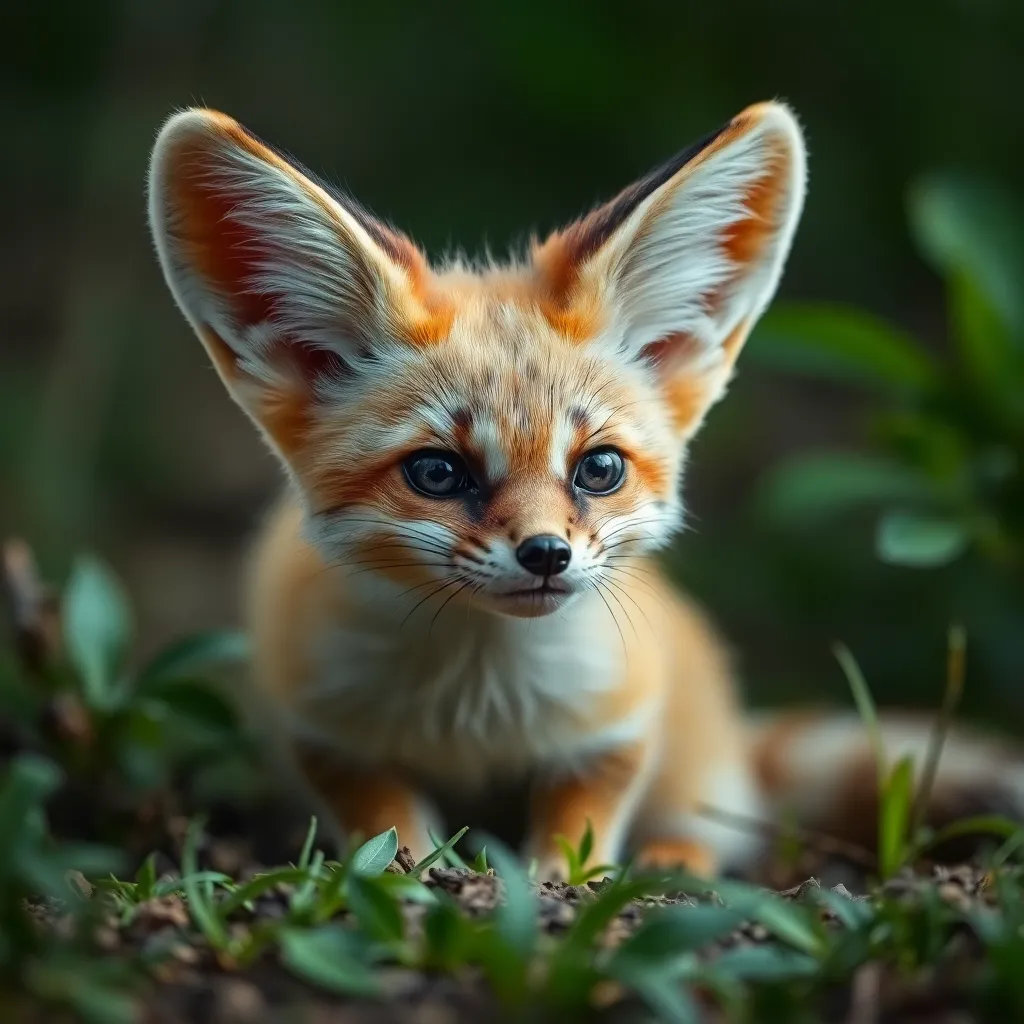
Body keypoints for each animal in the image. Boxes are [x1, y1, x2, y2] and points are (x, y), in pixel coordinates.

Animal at [145, 101, 1024, 879]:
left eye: (598, 469)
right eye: (437, 472)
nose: (546, 554)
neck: (478, 706)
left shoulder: (619, 722)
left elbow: (582, 824)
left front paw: (563, 888)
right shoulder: (323, 731)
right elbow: (386, 821)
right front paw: (414, 875)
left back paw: (677, 858)